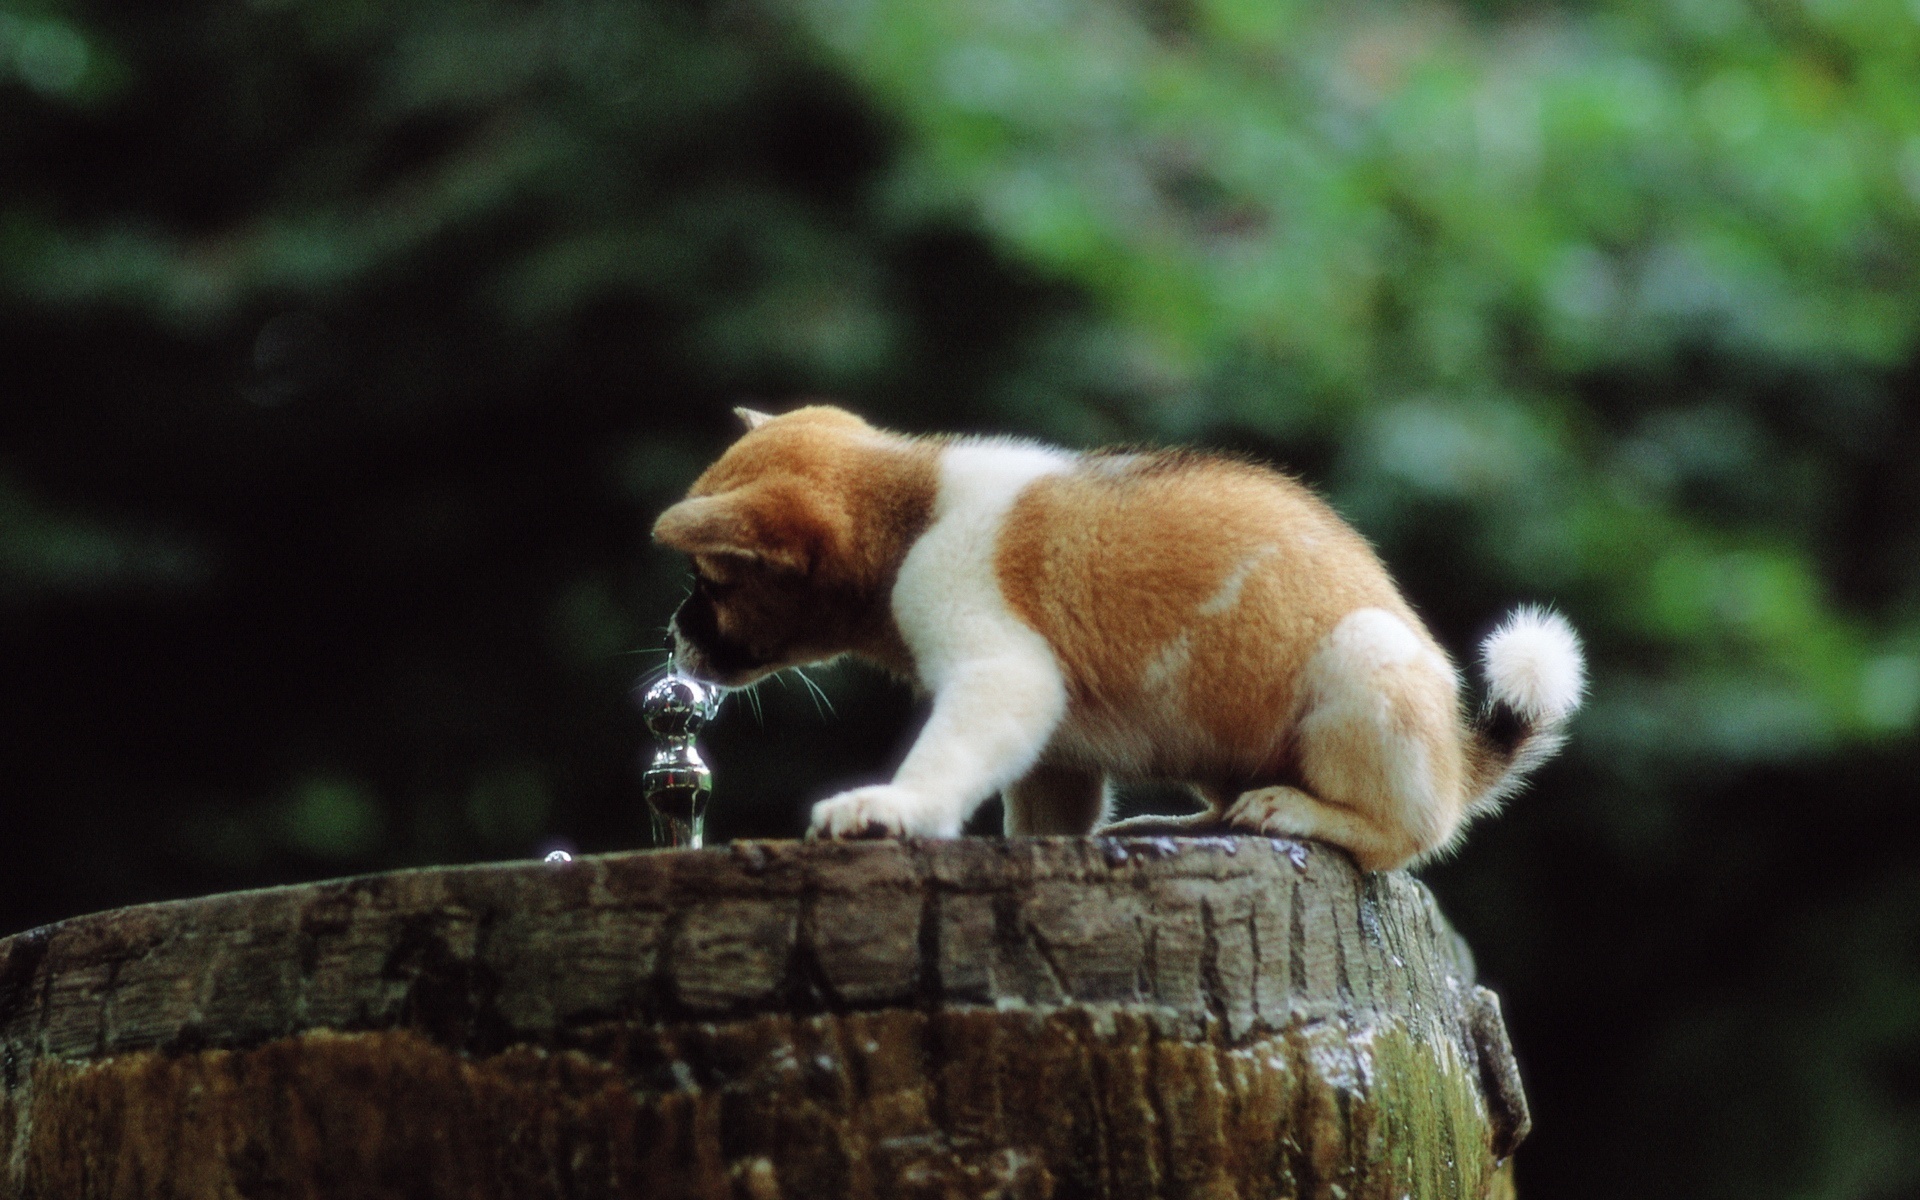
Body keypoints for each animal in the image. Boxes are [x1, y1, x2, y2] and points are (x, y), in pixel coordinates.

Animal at [652, 407, 1582, 864]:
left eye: (710, 582)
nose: (673, 635)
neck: (907, 511)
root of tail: (1461, 761)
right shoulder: (1056, 752)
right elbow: (1038, 821)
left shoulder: (1003, 676)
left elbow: (944, 760)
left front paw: (892, 808)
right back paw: (1191, 825)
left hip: (1362, 662)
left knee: (1410, 837)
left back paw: (1302, 812)